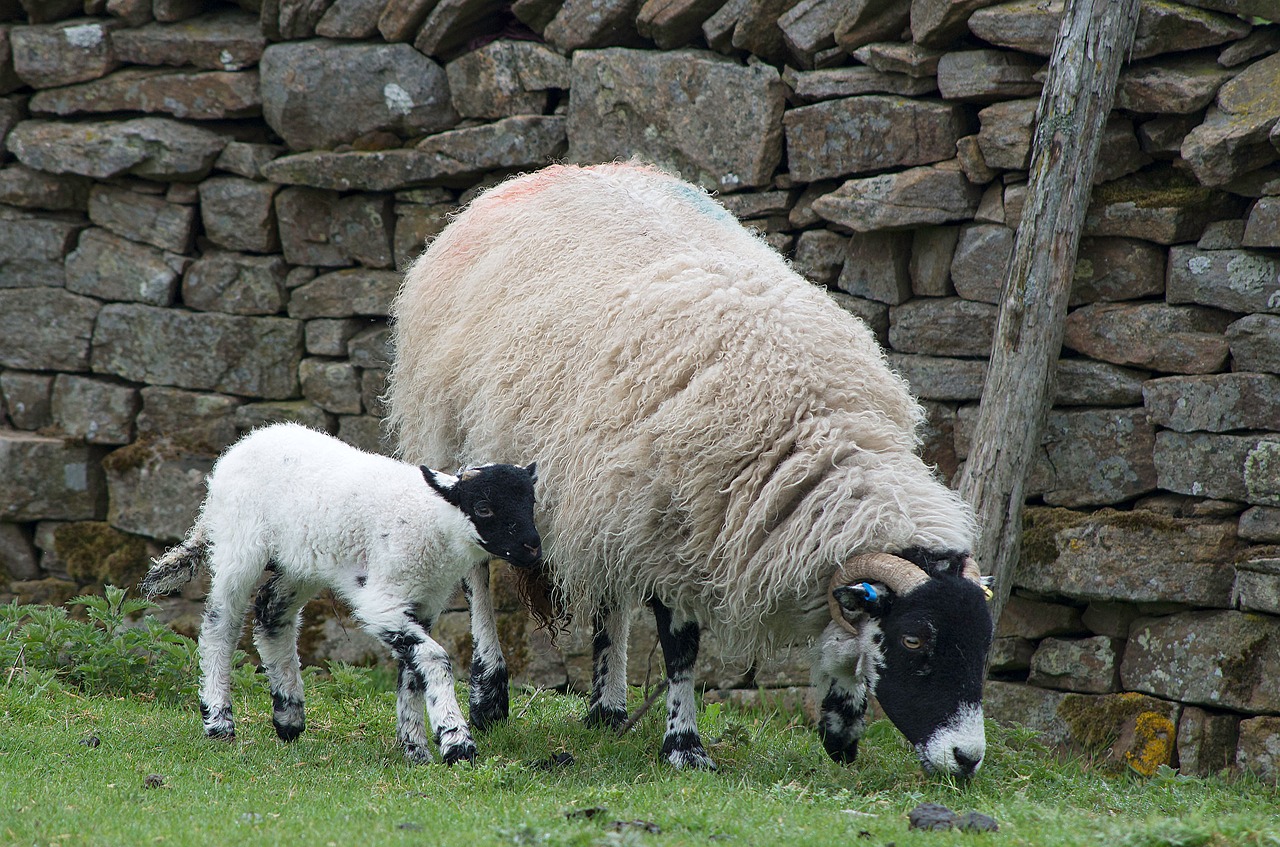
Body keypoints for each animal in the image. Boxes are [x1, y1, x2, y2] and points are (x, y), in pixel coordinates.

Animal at [140, 427, 540, 767]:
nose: (532, 548)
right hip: (240, 543)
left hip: (302, 560)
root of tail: (236, 451)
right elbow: (433, 658)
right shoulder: (381, 599)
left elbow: (412, 671)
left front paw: (415, 750)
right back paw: (219, 722)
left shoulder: (423, 602)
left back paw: (289, 716)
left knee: (271, 612)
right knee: (219, 624)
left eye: (531, 503)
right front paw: (456, 743)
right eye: (484, 507)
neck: (429, 519)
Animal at [384, 162, 993, 777]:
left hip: (603, 490)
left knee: (608, 592)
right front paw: (685, 747)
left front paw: (839, 730)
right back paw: (490, 693)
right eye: (914, 640)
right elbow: (681, 649)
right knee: (477, 571)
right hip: (452, 438)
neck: (813, 430)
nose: (967, 759)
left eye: (984, 645)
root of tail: (539, 175)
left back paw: (607, 708)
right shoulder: (668, 533)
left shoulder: (652, 515)